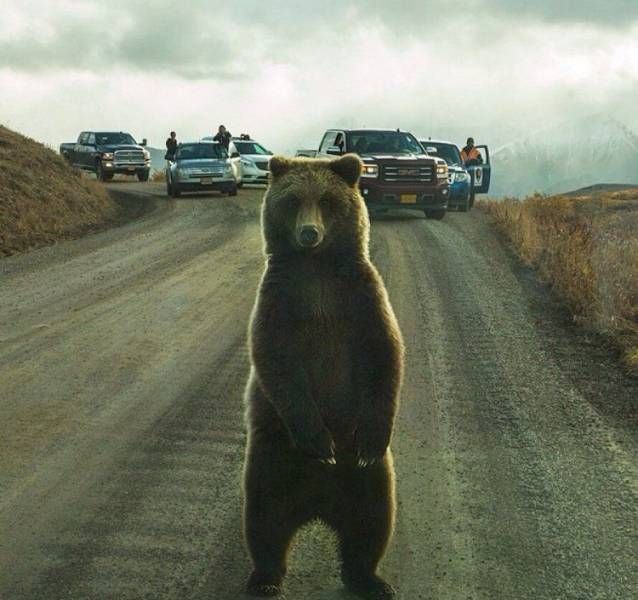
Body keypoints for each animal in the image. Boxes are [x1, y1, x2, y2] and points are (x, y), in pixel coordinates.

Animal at [245, 154, 404, 596]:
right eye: (293, 200)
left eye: (328, 201)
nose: (309, 232)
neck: (315, 268)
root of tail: (317, 505)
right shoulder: (279, 300)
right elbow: (277, 362)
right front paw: (320, 441)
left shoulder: (361, 298)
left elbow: (386, 354)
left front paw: (372, 437)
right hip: (272, 457)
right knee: (264, 518)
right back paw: (265, 578)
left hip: (368, 478)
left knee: (372, 519)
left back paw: (370, 580)